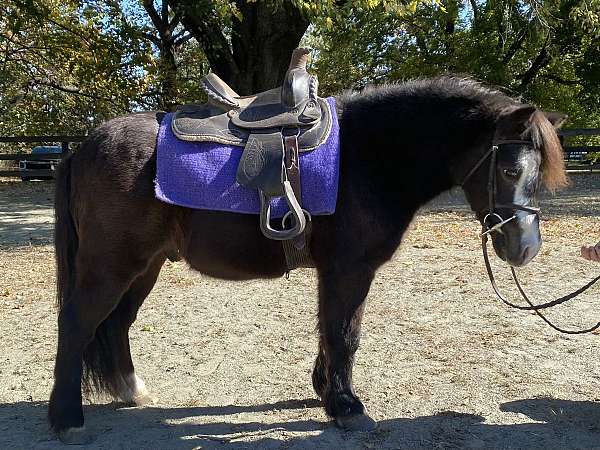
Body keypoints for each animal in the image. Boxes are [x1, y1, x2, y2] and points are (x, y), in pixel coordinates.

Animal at [49, 76, 564, 442]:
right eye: (509, 168)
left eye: (537, 171)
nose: (525, 247)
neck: (371, 155)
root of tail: (83, 145)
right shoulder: (350, 271)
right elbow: (344, 335)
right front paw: (347, 407)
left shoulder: (335, 274)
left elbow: (329, 331)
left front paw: (326, 393)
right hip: (111, 268)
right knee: (76, 323)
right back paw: (66, 417)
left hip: (144, 268)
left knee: (116, 324)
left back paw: (130, 390)